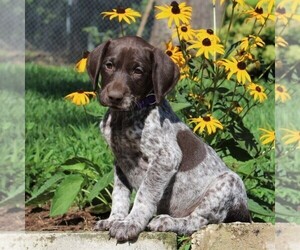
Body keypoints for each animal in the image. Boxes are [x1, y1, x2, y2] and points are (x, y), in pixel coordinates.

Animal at [86, 36, 251, 241]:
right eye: (109, 65)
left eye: (138, 71)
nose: (114, 97)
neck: (124, 118)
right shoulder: (120, 162)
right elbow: (119, 195)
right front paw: (114, 219)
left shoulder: (165, 158)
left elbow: (144, 194)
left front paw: (131, 223)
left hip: (228, 182)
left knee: (198, 221)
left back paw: (167, 221)